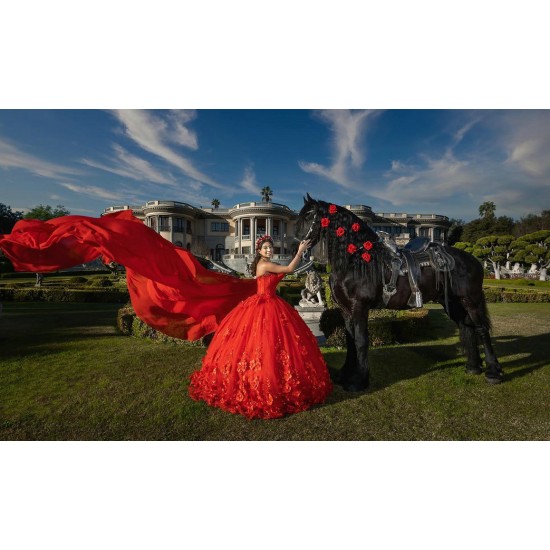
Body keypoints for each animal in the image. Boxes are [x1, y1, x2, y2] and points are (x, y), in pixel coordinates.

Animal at [298, 194, 504, 392]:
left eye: (310, 216)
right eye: (300, 216)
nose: (299, 246)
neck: (356, 260)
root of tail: (473, 259)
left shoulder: (359, 306)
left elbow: (361, 340)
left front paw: (359, 380)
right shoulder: (345, 308)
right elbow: (350, 340)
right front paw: (345, 374)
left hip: (471, 299)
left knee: (481, 328)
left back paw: (493, 371)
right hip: (452, 302)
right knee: (466, 326)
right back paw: (473, 367)